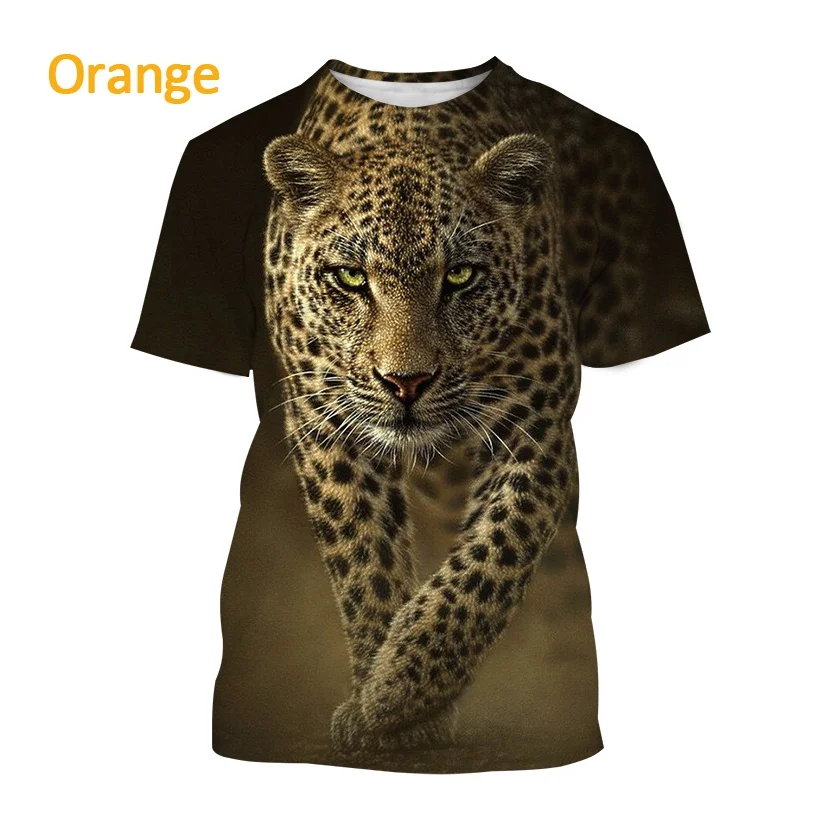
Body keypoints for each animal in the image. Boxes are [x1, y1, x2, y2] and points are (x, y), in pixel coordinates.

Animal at [260, 60, 648, 753]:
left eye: (460, 277)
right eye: (351, 279)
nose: (406, 383)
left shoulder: (537, 426)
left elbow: (490, 563)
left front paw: (399, 692)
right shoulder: (322, 421)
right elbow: (363, 559)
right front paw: (385, 703)